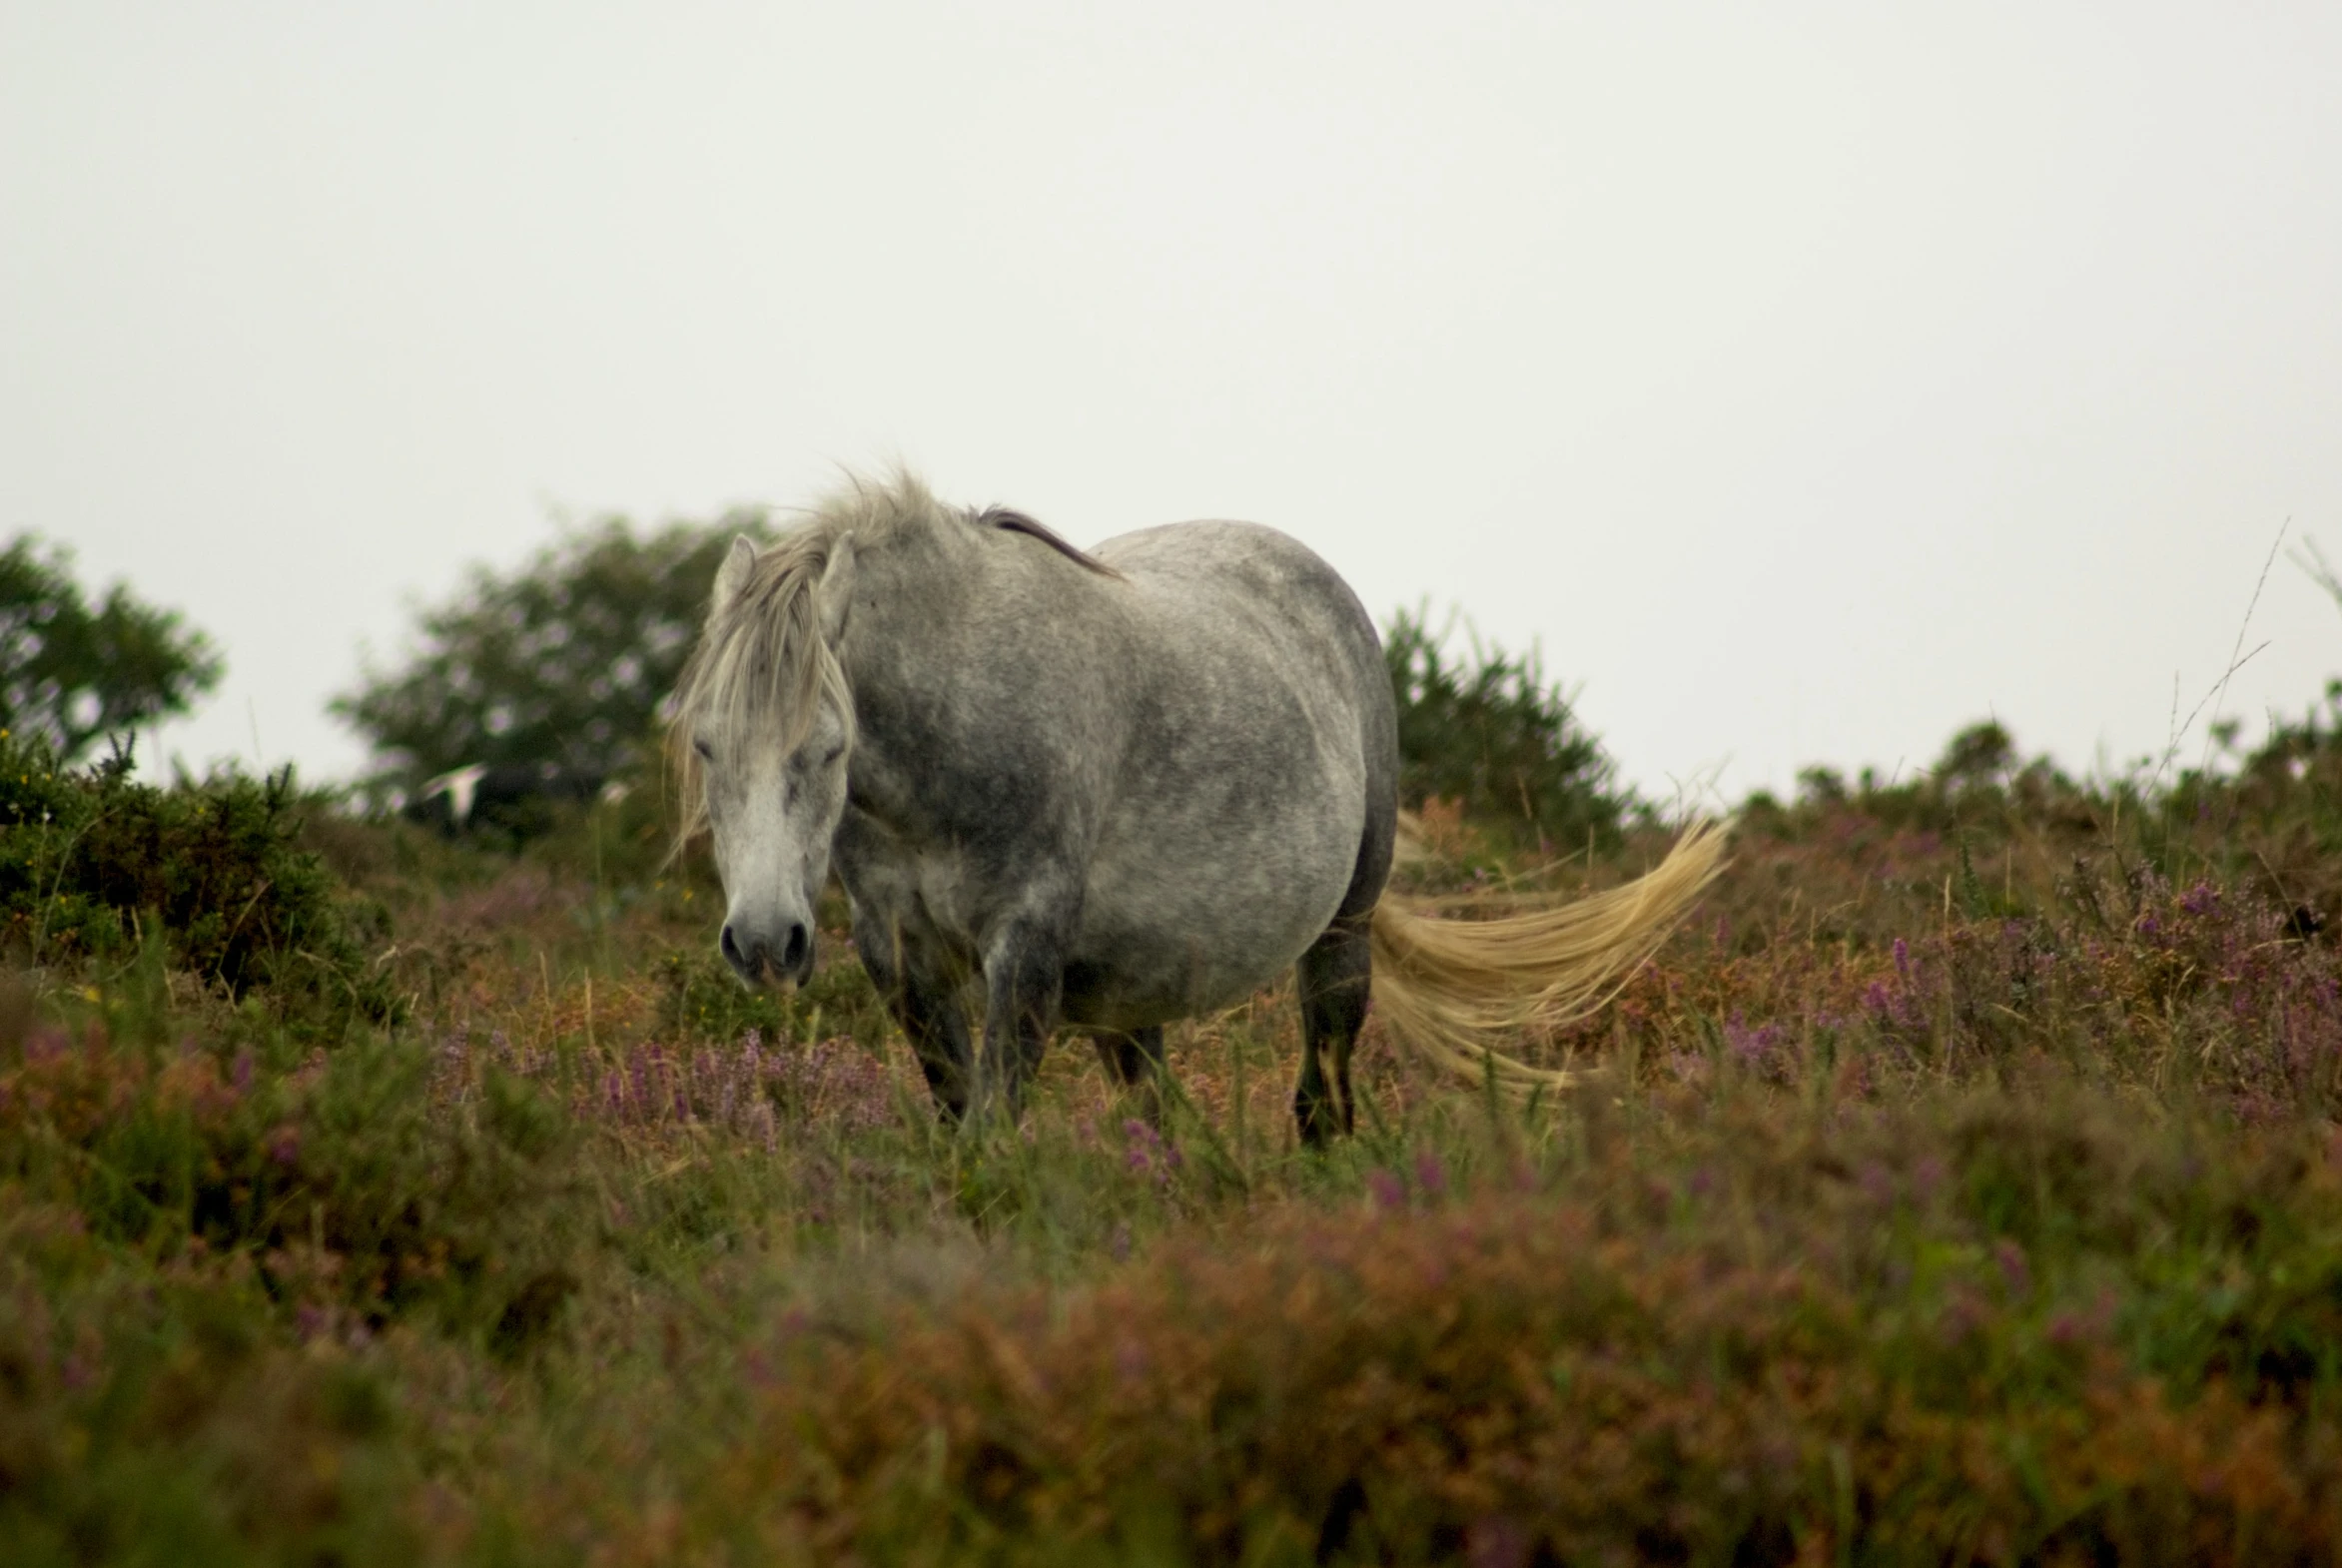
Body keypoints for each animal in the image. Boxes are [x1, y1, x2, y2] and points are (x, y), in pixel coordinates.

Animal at [669, 472, 1733, 1147]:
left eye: (826, 747)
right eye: (705, 743)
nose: (763, 942)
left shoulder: (1026, 946)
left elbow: (992, 1133)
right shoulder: (902, 956)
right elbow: (958, 1116)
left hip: (1339, 935)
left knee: (1323, 1096)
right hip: (1131, 993)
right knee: (1163, 1114)